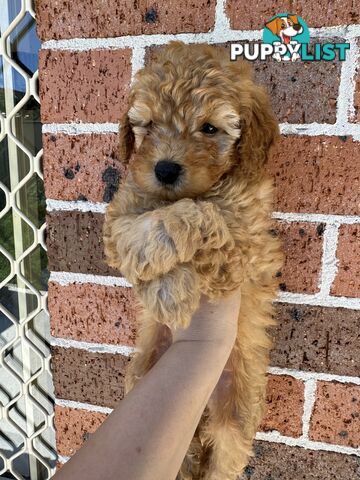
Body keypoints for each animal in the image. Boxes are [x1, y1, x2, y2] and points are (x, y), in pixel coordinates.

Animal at [102, 42, 282, 480]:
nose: (165, 169)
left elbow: (199, 216)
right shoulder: (119, 216)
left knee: (224, 459)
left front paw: (173, 290)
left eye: (210, 129)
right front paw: (168, 289)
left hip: (234, 420)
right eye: (148, 124)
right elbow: (135, 229)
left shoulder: (243, 247)